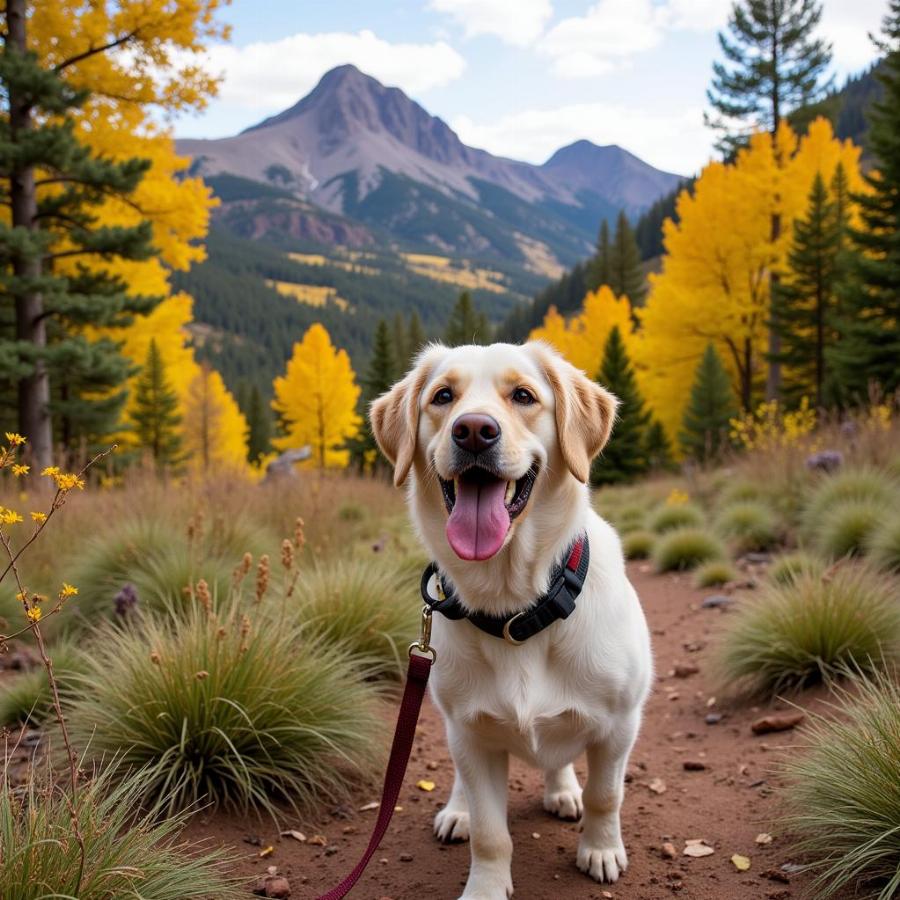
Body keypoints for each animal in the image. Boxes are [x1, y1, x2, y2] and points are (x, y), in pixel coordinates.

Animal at [370, 342, 652, 896]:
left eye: (523, 395)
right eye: (443, 397)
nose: (473, 430)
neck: (514, 608)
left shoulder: (619, 726)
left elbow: (606, 796)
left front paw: (601, 850)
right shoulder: (472, 735)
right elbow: (489, 832)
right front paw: (484, 885)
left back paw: (563, 791)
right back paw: (456, 811)